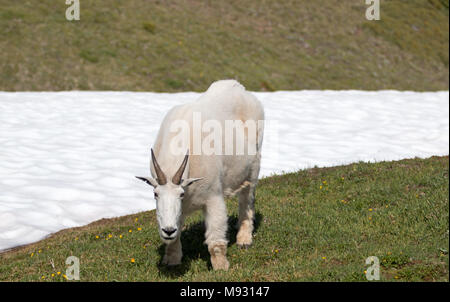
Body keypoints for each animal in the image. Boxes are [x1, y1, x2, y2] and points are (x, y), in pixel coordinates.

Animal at [135, 79, 266, 270]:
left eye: (181, 194)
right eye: (155, 194)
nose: (168, 230)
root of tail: (239, 87)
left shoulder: (213, 196)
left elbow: (215, 239)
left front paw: (221, 267)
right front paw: (171, 260)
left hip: (254, 166)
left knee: (247, 200)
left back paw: (244, 239)